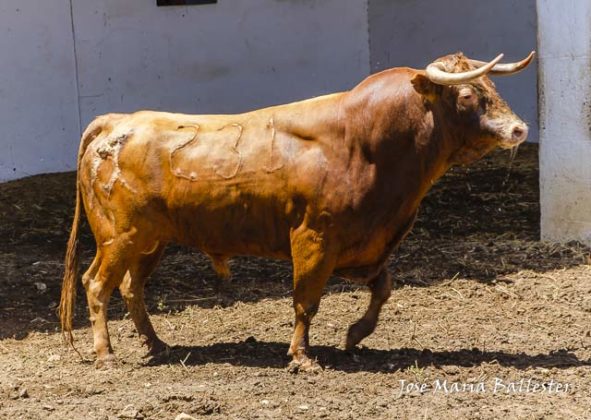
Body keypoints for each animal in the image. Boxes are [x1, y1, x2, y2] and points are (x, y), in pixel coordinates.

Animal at [59, 50, 536, 370]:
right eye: (469, 94)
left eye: (494, 88)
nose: (519, 128)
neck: (366, 142)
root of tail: (119, 121)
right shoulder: (314, 238)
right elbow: (306, 300)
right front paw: (302, 357)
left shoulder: (365, 245)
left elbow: (383, 287)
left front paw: (355, 334)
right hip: (120, 238)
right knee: (97, 284)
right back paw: (105, 354)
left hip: (151, 241)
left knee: (131, 289)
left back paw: (157, 345)